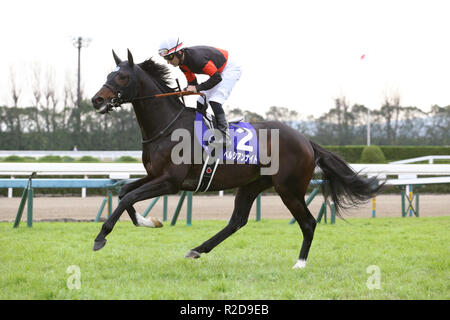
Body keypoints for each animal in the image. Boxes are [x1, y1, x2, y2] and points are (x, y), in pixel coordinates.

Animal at [91, 49, 384, 268]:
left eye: (122, 77)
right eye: (108, 74)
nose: (97, 100)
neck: (166, 126)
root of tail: (306, 140)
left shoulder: (170, 182)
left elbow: (128, 197)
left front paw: (101, 237)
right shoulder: (154, 175)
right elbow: (125, 192)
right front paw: (148, 221)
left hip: (289, 188)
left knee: (308, 223)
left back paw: (300, 263)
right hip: (252, 184)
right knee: (237, 221)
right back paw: (197, 250)